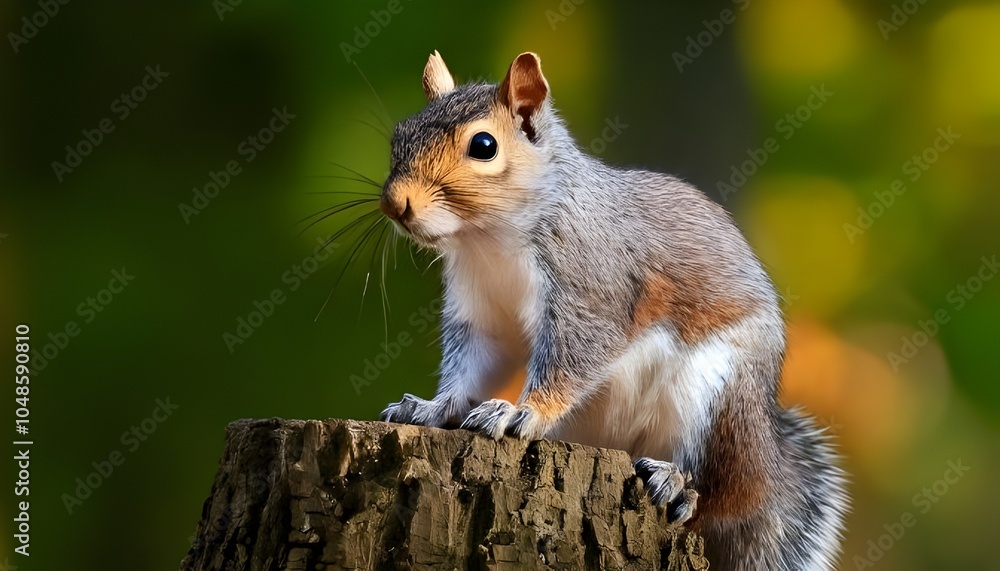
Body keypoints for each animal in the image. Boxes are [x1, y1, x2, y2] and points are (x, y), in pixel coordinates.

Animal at [378, 51, 848, 570]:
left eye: (484, 145)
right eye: (399, 135)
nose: (394, 204)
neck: (488, 239)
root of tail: (765, 465)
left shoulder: (591, 292)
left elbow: (571, 359)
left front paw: (521, 412)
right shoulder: (481, 318)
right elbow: (468, 370)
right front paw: (431, 407)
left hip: (715, 396)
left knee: (710, 486)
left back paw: (675, 481)